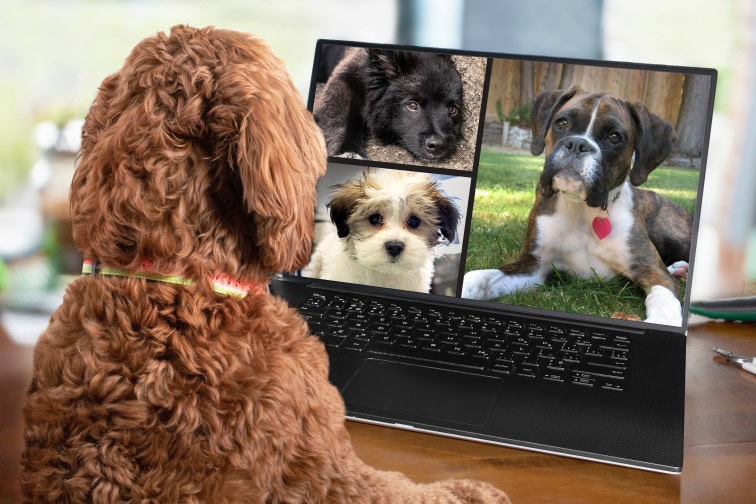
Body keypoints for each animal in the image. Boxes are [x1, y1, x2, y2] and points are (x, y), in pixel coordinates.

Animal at [312, 47, 464, 161]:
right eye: (413, 105)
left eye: (453, 109)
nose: (438, 145)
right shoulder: (345, 76)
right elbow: (342, 115)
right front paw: (348, 151)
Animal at [460, 85, 692, 326]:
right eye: (562, 123)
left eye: (614, 137)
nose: (578, 144)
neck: (583, 209)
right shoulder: (534, 266)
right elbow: (480, 277)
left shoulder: (650, 269)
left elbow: (663, 295)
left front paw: (664, 320)